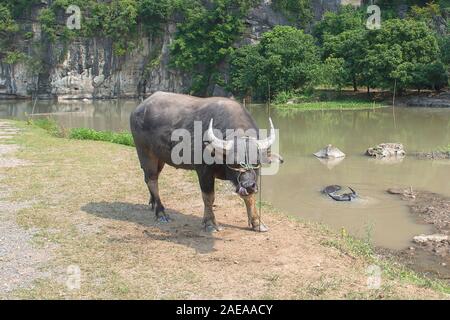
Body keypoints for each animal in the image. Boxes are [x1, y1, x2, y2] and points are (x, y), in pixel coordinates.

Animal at [130, 92, 284, 232]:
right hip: (145, 153)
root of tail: (138, 109)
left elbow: (250, 198)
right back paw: (161, 213)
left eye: (256, 162)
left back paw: (153, 204)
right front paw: (210, 223)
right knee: (152, 180)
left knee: (150, 178)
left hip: (160, 158)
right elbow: (209, 197)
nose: (248, 186)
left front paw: (257, 223)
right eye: (233, 162)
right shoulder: (203, 171)